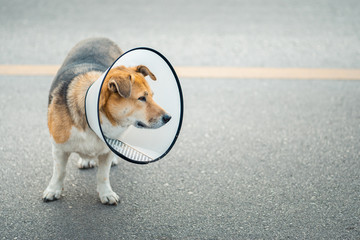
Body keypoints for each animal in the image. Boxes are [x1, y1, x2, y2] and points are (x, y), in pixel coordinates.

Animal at [42, 38, 172, 205]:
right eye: (142, 98)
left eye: (152, 95)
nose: (168, 117)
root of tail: (99, 37)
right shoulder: (59, 148)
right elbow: (59, 172)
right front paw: (53, 191)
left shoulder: (106, 150)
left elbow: (103, 175)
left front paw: (106, 194)